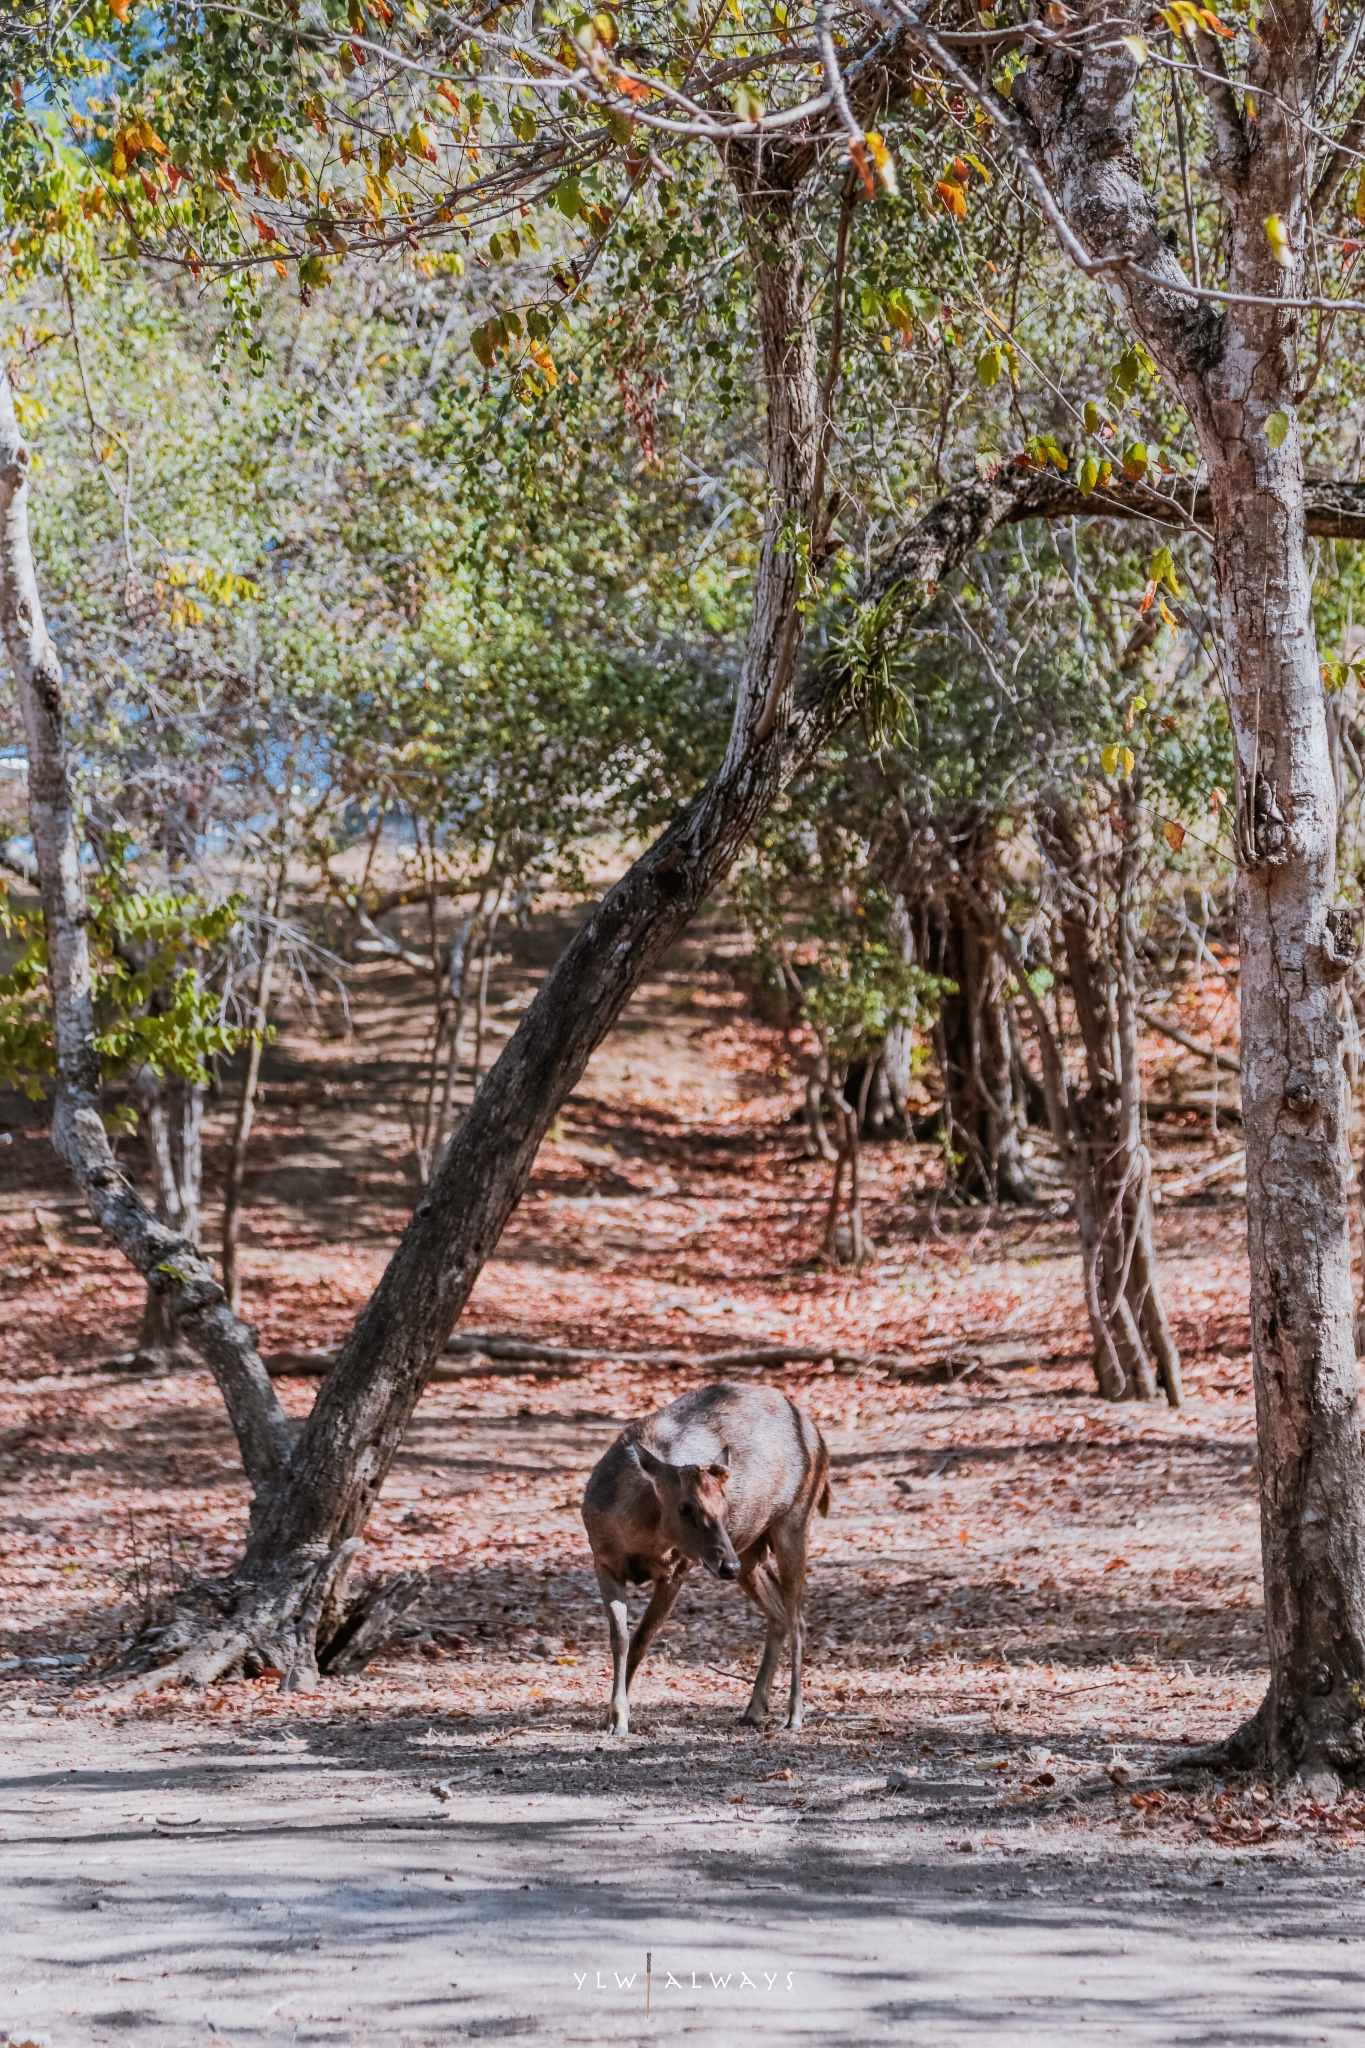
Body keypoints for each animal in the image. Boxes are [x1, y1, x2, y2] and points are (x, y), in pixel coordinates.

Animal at [581, 1384, 834, 1736]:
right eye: (685, 1507)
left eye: (725, 1506)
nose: (727, 1566)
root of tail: (820, 1440)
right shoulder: (603, 1561)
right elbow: (620, 1638)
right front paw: (611, 1717)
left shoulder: (677, 1570)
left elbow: (643, 1638)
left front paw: (620, 1718)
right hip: (749, 1551)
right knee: (781, 1614)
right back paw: (753, 1710)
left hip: (794, 1520)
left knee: (797, 1618)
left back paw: (794, 1714)